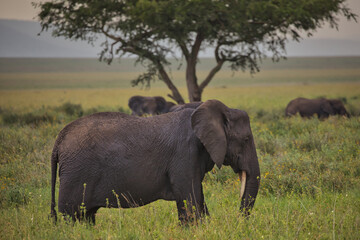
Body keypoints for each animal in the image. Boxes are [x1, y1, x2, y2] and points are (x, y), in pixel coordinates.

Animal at [50, 99, 258, 225]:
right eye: (246, 139)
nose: (239, 220)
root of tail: (59, 139)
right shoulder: (185, 153)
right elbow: (190, 198)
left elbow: (197, 198)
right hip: (76, 173)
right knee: (73, 214)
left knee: (86, 217)